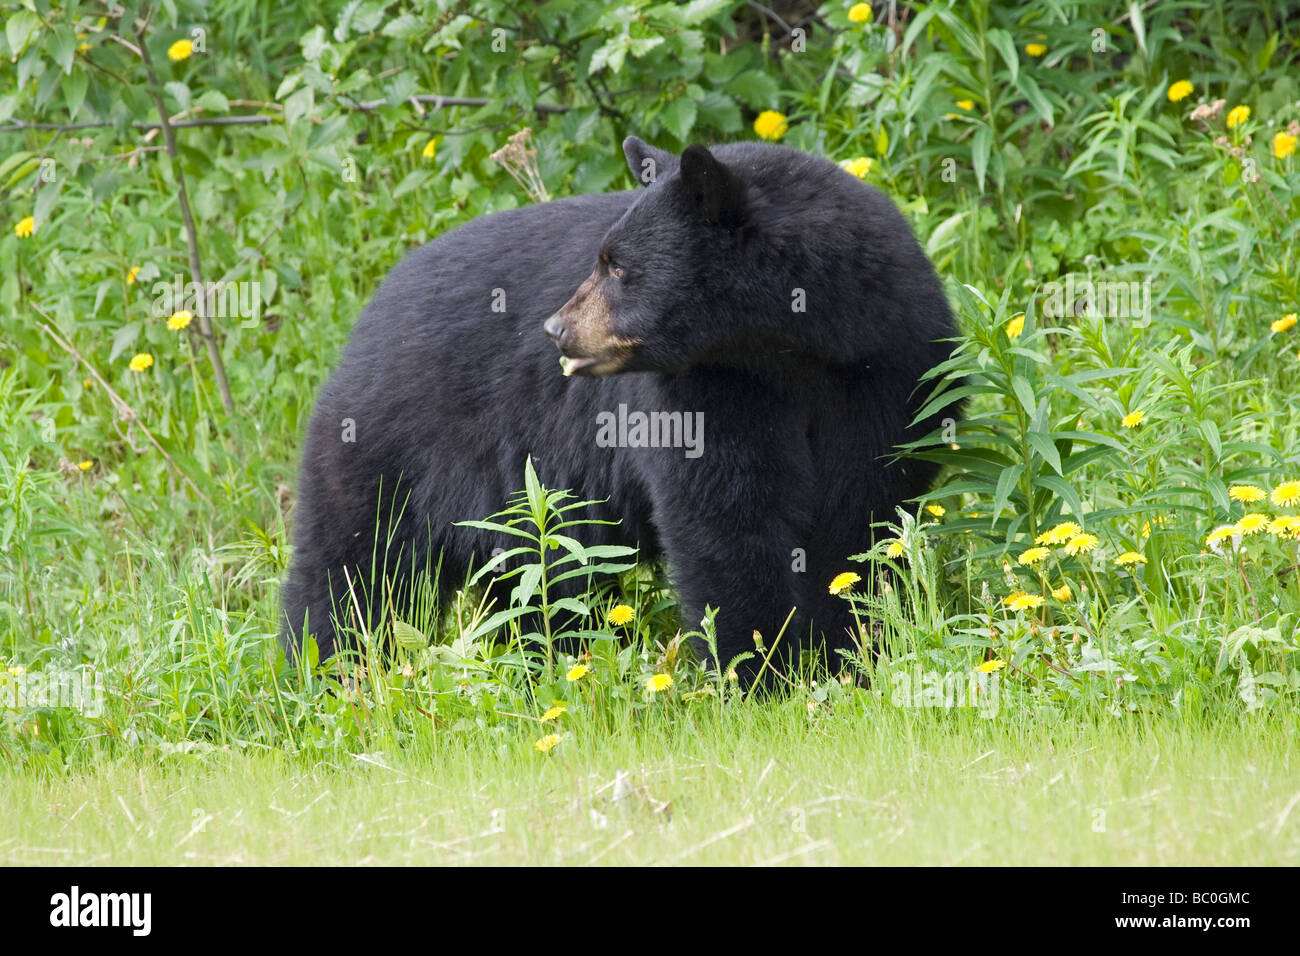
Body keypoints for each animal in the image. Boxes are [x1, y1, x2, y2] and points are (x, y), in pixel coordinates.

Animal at [280, 135, 958, 682]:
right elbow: (727, 518)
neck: (792, 351)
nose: (555, 329)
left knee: (536, 581)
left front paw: (843, 658)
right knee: (353, 568)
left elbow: (854, 520)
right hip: (393, 444)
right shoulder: (703, 389)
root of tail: (367, 314)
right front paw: (761, 671)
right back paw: (323, 672)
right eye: (603, 258)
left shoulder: (888, 375)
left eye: (619, 267)